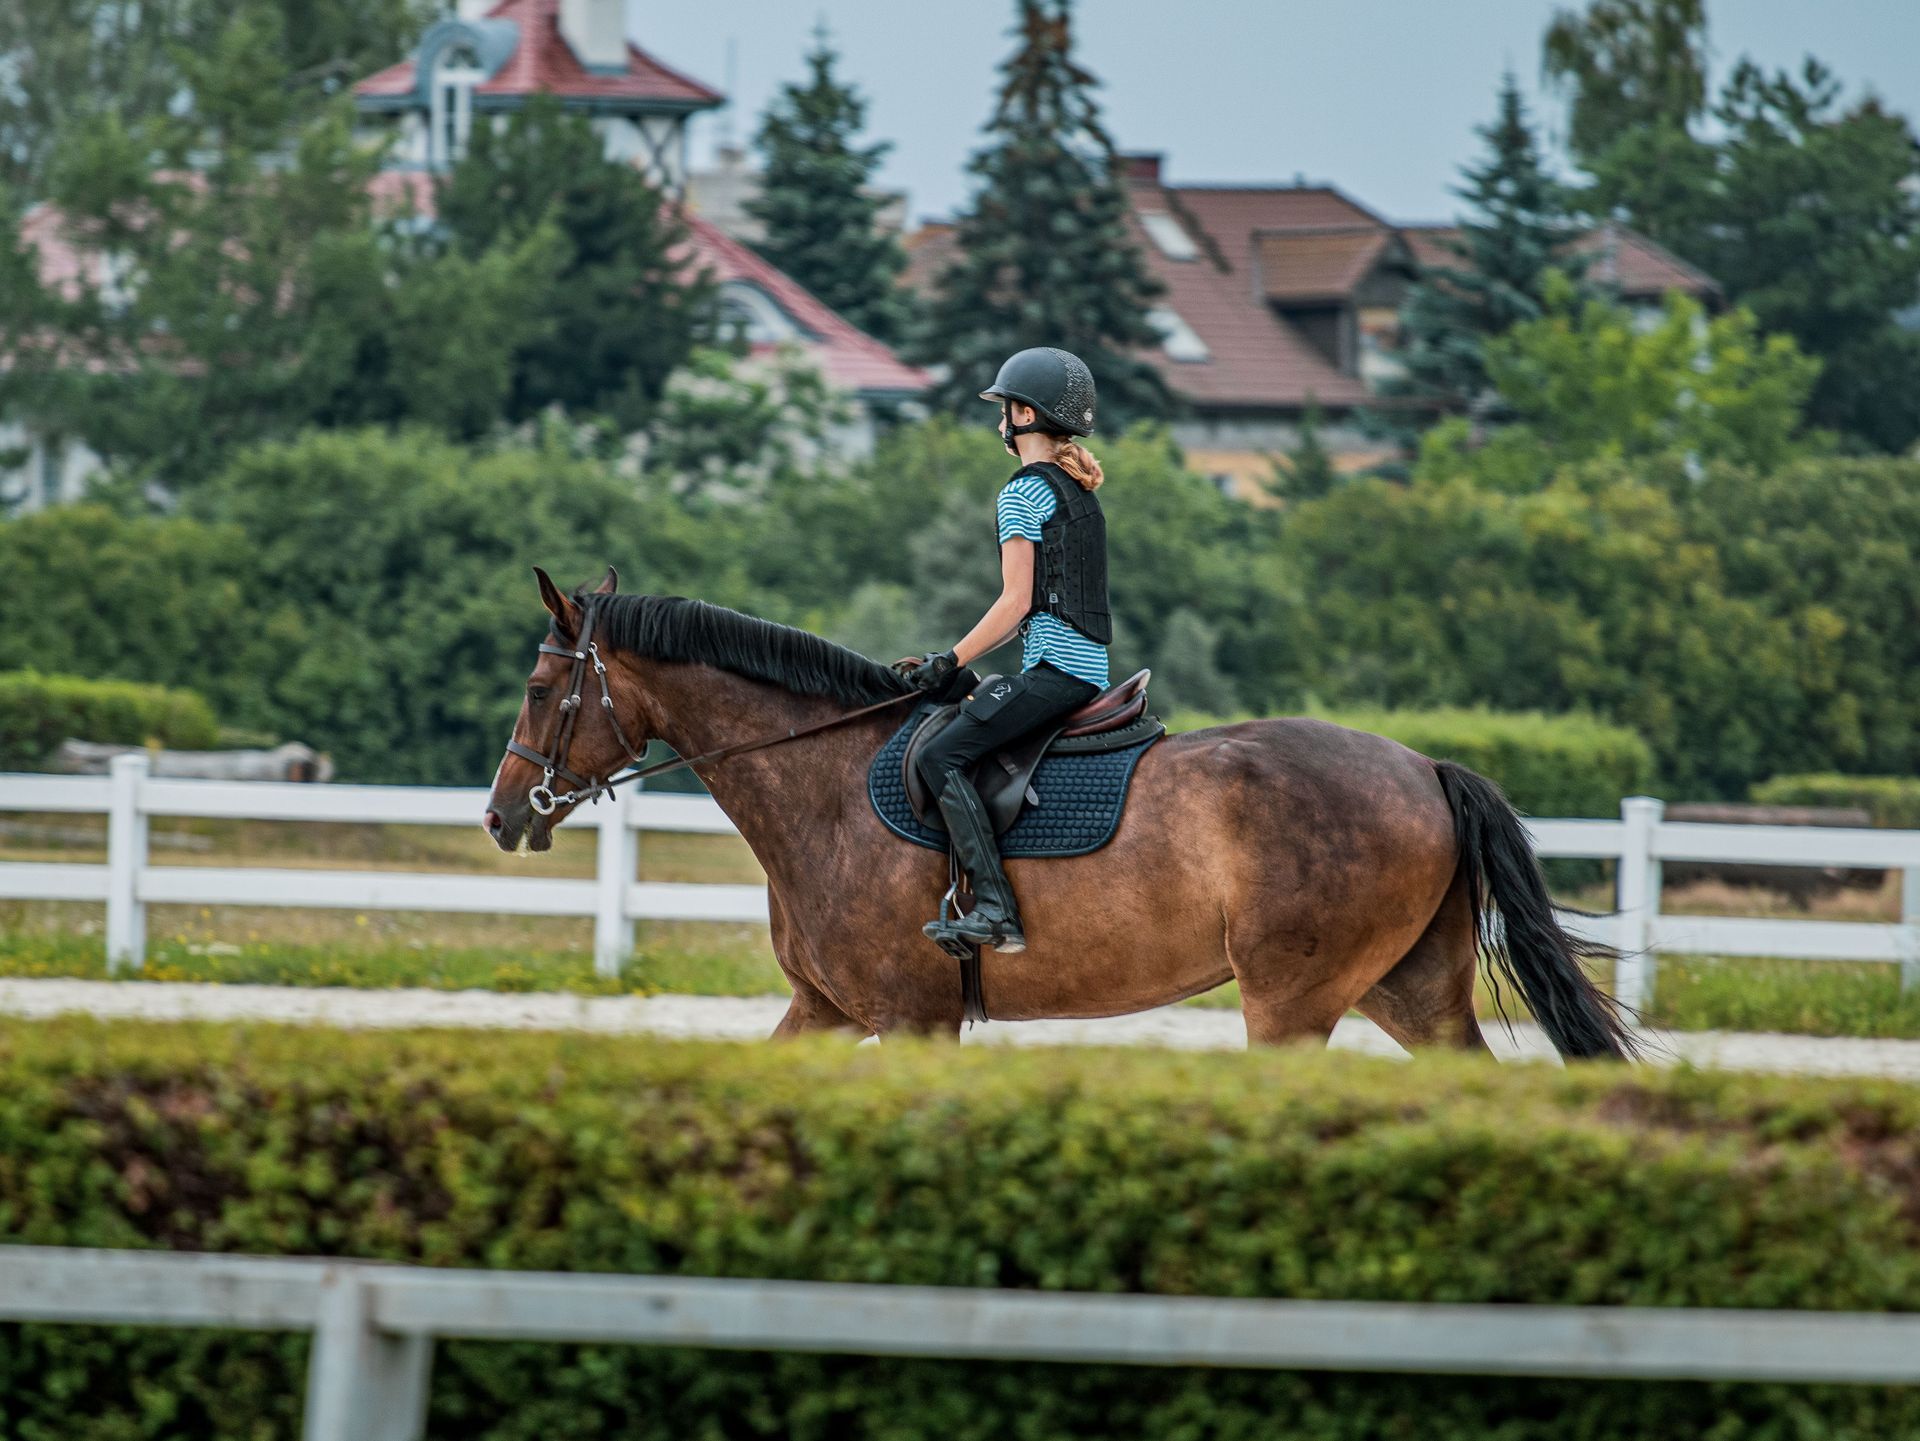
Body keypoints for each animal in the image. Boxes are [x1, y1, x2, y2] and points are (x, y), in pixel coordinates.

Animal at [483, 568, 1637, 1060]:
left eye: (540, 689)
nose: (501, 818)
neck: (824, 776)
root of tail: (1424, 767)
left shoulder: (912, 1016)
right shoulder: (827, 1009)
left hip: (1293, 999)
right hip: (1411, 990)